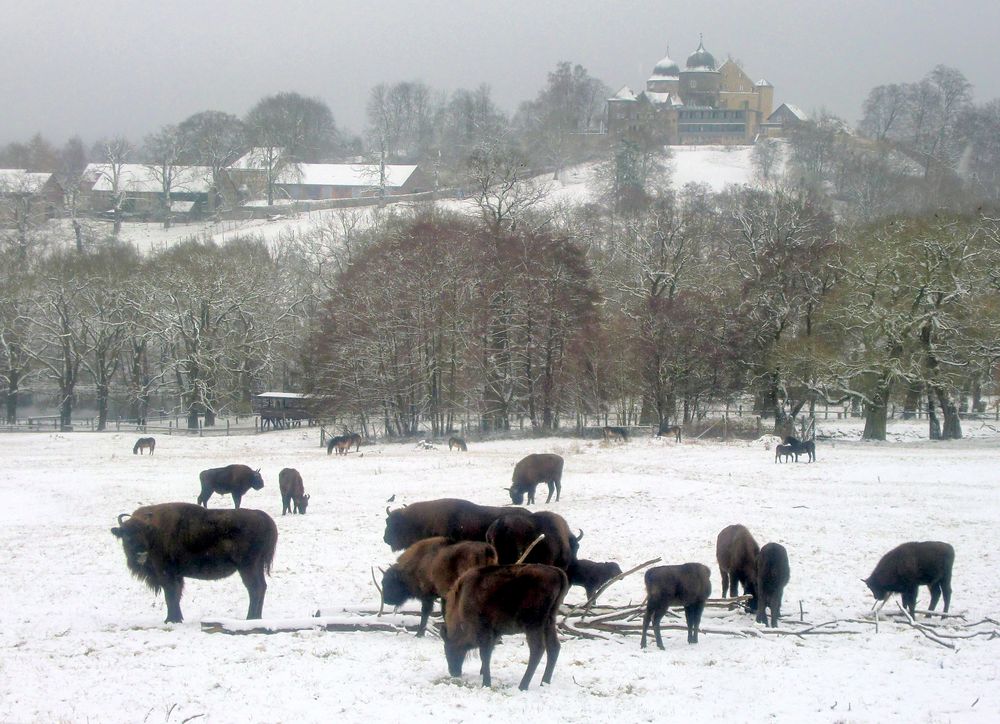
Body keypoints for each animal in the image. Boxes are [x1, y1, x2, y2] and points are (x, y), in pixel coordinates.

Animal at [109, 504, 278, 624]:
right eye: (126, 535)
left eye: (144, 533)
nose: (141, 553)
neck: (154, 534)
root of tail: (263, 517)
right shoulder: (176, 575)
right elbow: (176, 595)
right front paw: (177, 618)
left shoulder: (166, 574)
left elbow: (170, 595)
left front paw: (171, 620)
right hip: (255, 567)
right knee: (261, 587)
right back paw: (256, 617)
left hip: (248, 567)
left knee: (255, 588)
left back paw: (250, 618)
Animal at [442, 564, 568, 692]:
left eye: (448, 648)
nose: (453, 672)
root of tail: (557, 572)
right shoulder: (494, 633)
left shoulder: (484, 631)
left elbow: (485, 655)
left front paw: (486, 683)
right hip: (549, 622)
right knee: (554, 647)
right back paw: (544, 682)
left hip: (533, 625)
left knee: (537, 649)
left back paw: (523, 686)